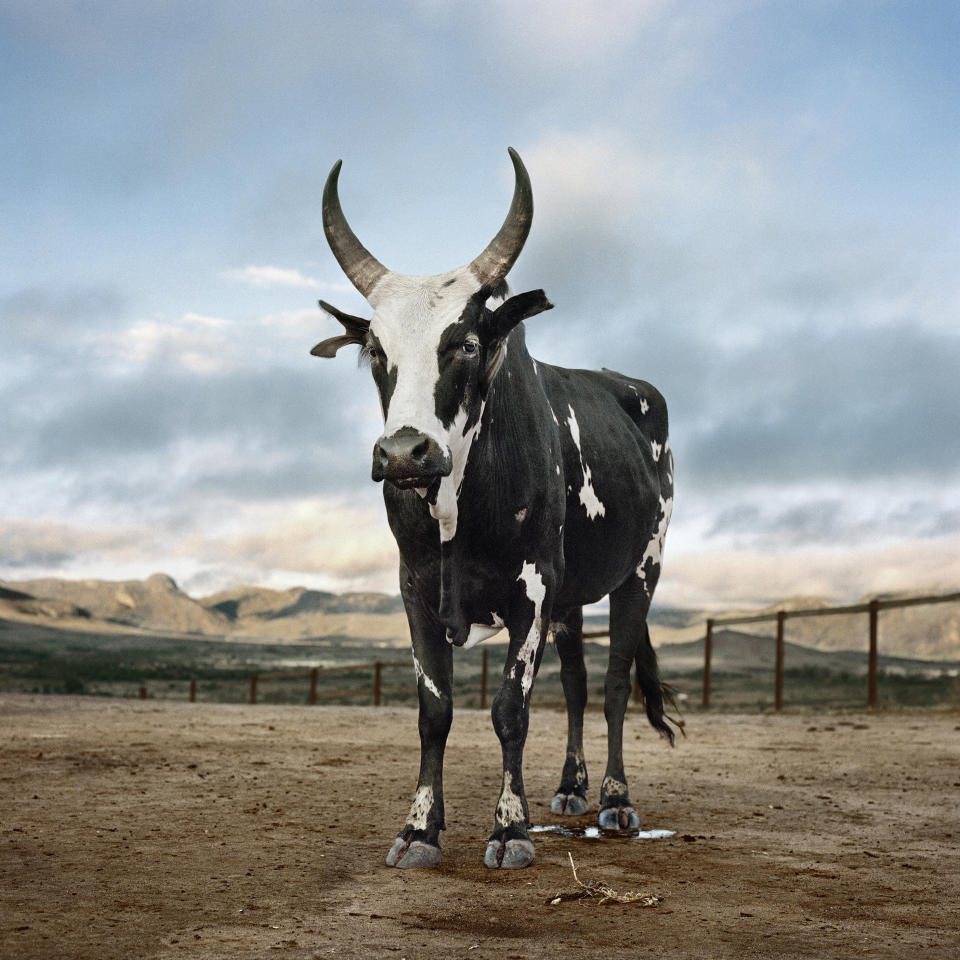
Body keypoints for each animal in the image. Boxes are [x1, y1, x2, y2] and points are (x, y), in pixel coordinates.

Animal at [312, 148, 680, 872]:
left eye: (467, 344)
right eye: (376, 351)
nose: (405, 452)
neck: (458, 507)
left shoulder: (532, 591)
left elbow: (511, 708)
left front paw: (510, 829)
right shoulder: (416, 590)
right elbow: (434, 711)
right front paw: (420, 830)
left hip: (641, 571)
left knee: (614, 683)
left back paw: (615, 800)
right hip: (573, 599)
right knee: (577, 685)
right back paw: (572, 788)